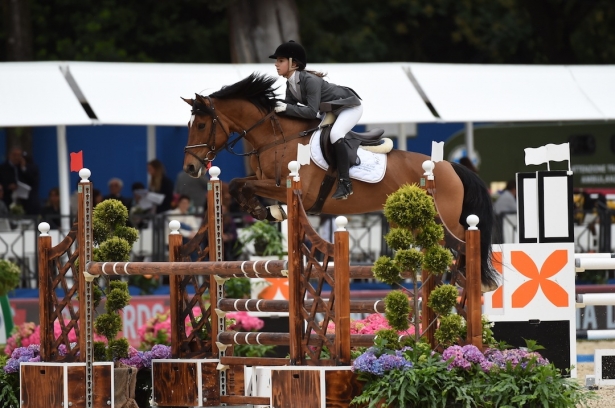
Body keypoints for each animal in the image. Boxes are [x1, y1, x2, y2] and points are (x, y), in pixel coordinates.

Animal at [183, 73, 500, 290]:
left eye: (201, 125)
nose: (189, 167)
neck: (276, 138)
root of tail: (450, 167)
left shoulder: (294, 189)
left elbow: (244, 184)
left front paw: (267, 210)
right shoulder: (265, 179)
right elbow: (239, 183)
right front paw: (267, 211)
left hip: (446, 223)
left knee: (461, 249)